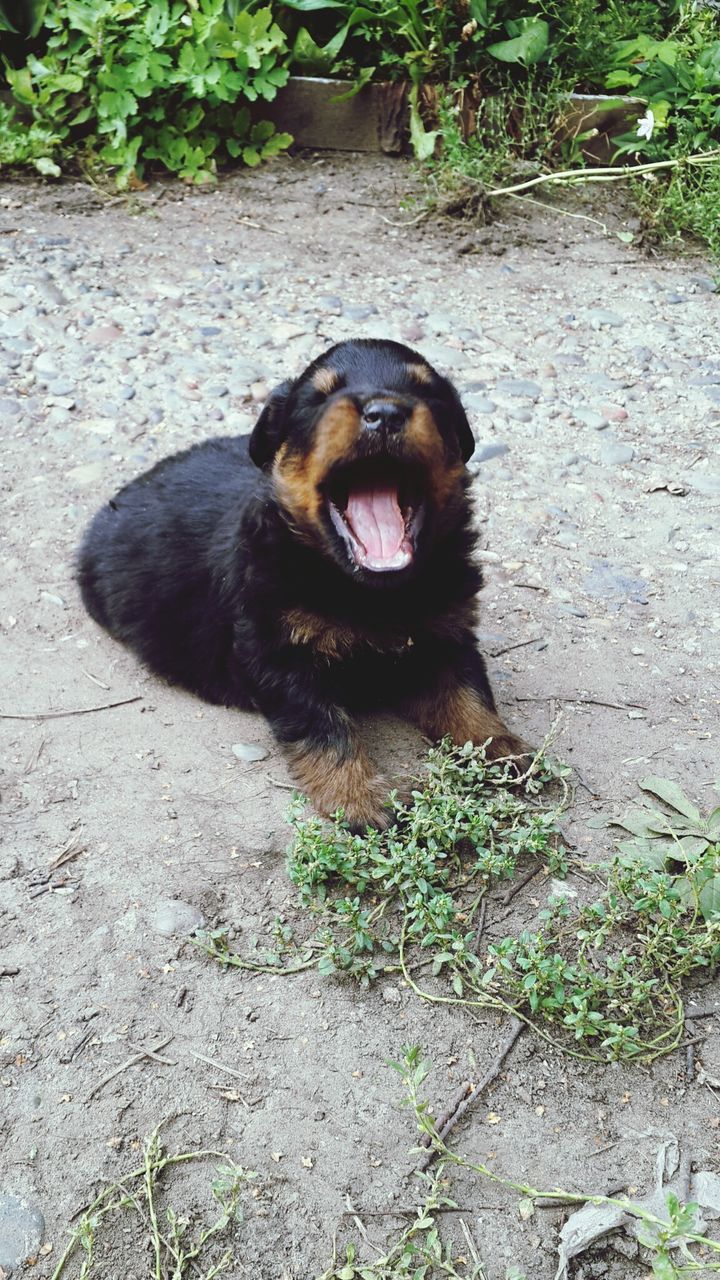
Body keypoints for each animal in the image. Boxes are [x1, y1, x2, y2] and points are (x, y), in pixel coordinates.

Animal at [78, 335, 517, 824]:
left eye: (429, 393)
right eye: (320, 397)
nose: (385, 413)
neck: (373, 593)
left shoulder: (446, 631)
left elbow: (467, 692)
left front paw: (502, 747)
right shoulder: (278, 654)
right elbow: (324, 727)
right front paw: (359, 799)